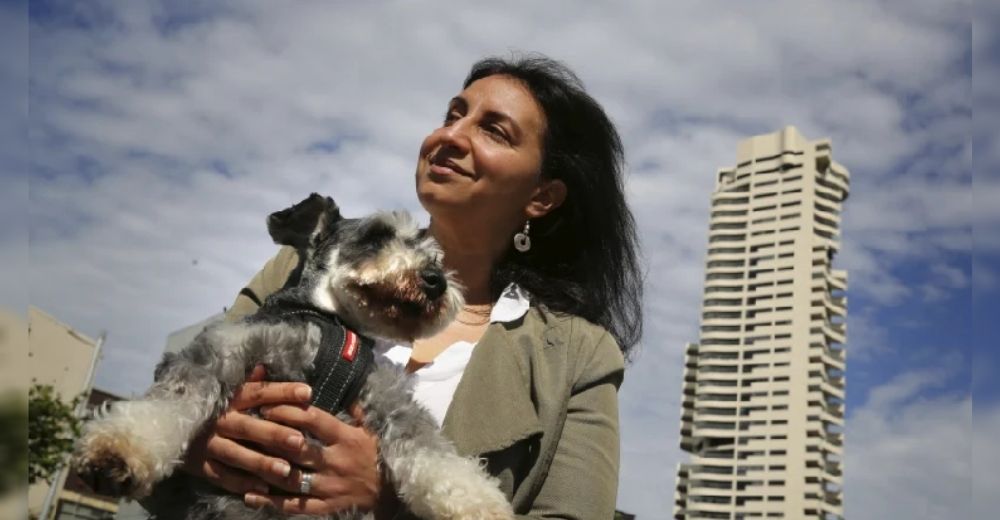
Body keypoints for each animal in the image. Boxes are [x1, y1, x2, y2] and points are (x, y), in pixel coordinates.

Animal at [76, 193, 516, 516]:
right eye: (375, 237)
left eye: (435, 256)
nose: (435, 280)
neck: (327, 325)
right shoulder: (220, 352)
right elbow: (170, 401)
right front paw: (116, 449)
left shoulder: (390, 401)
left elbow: (433, 452)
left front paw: (479, 503)